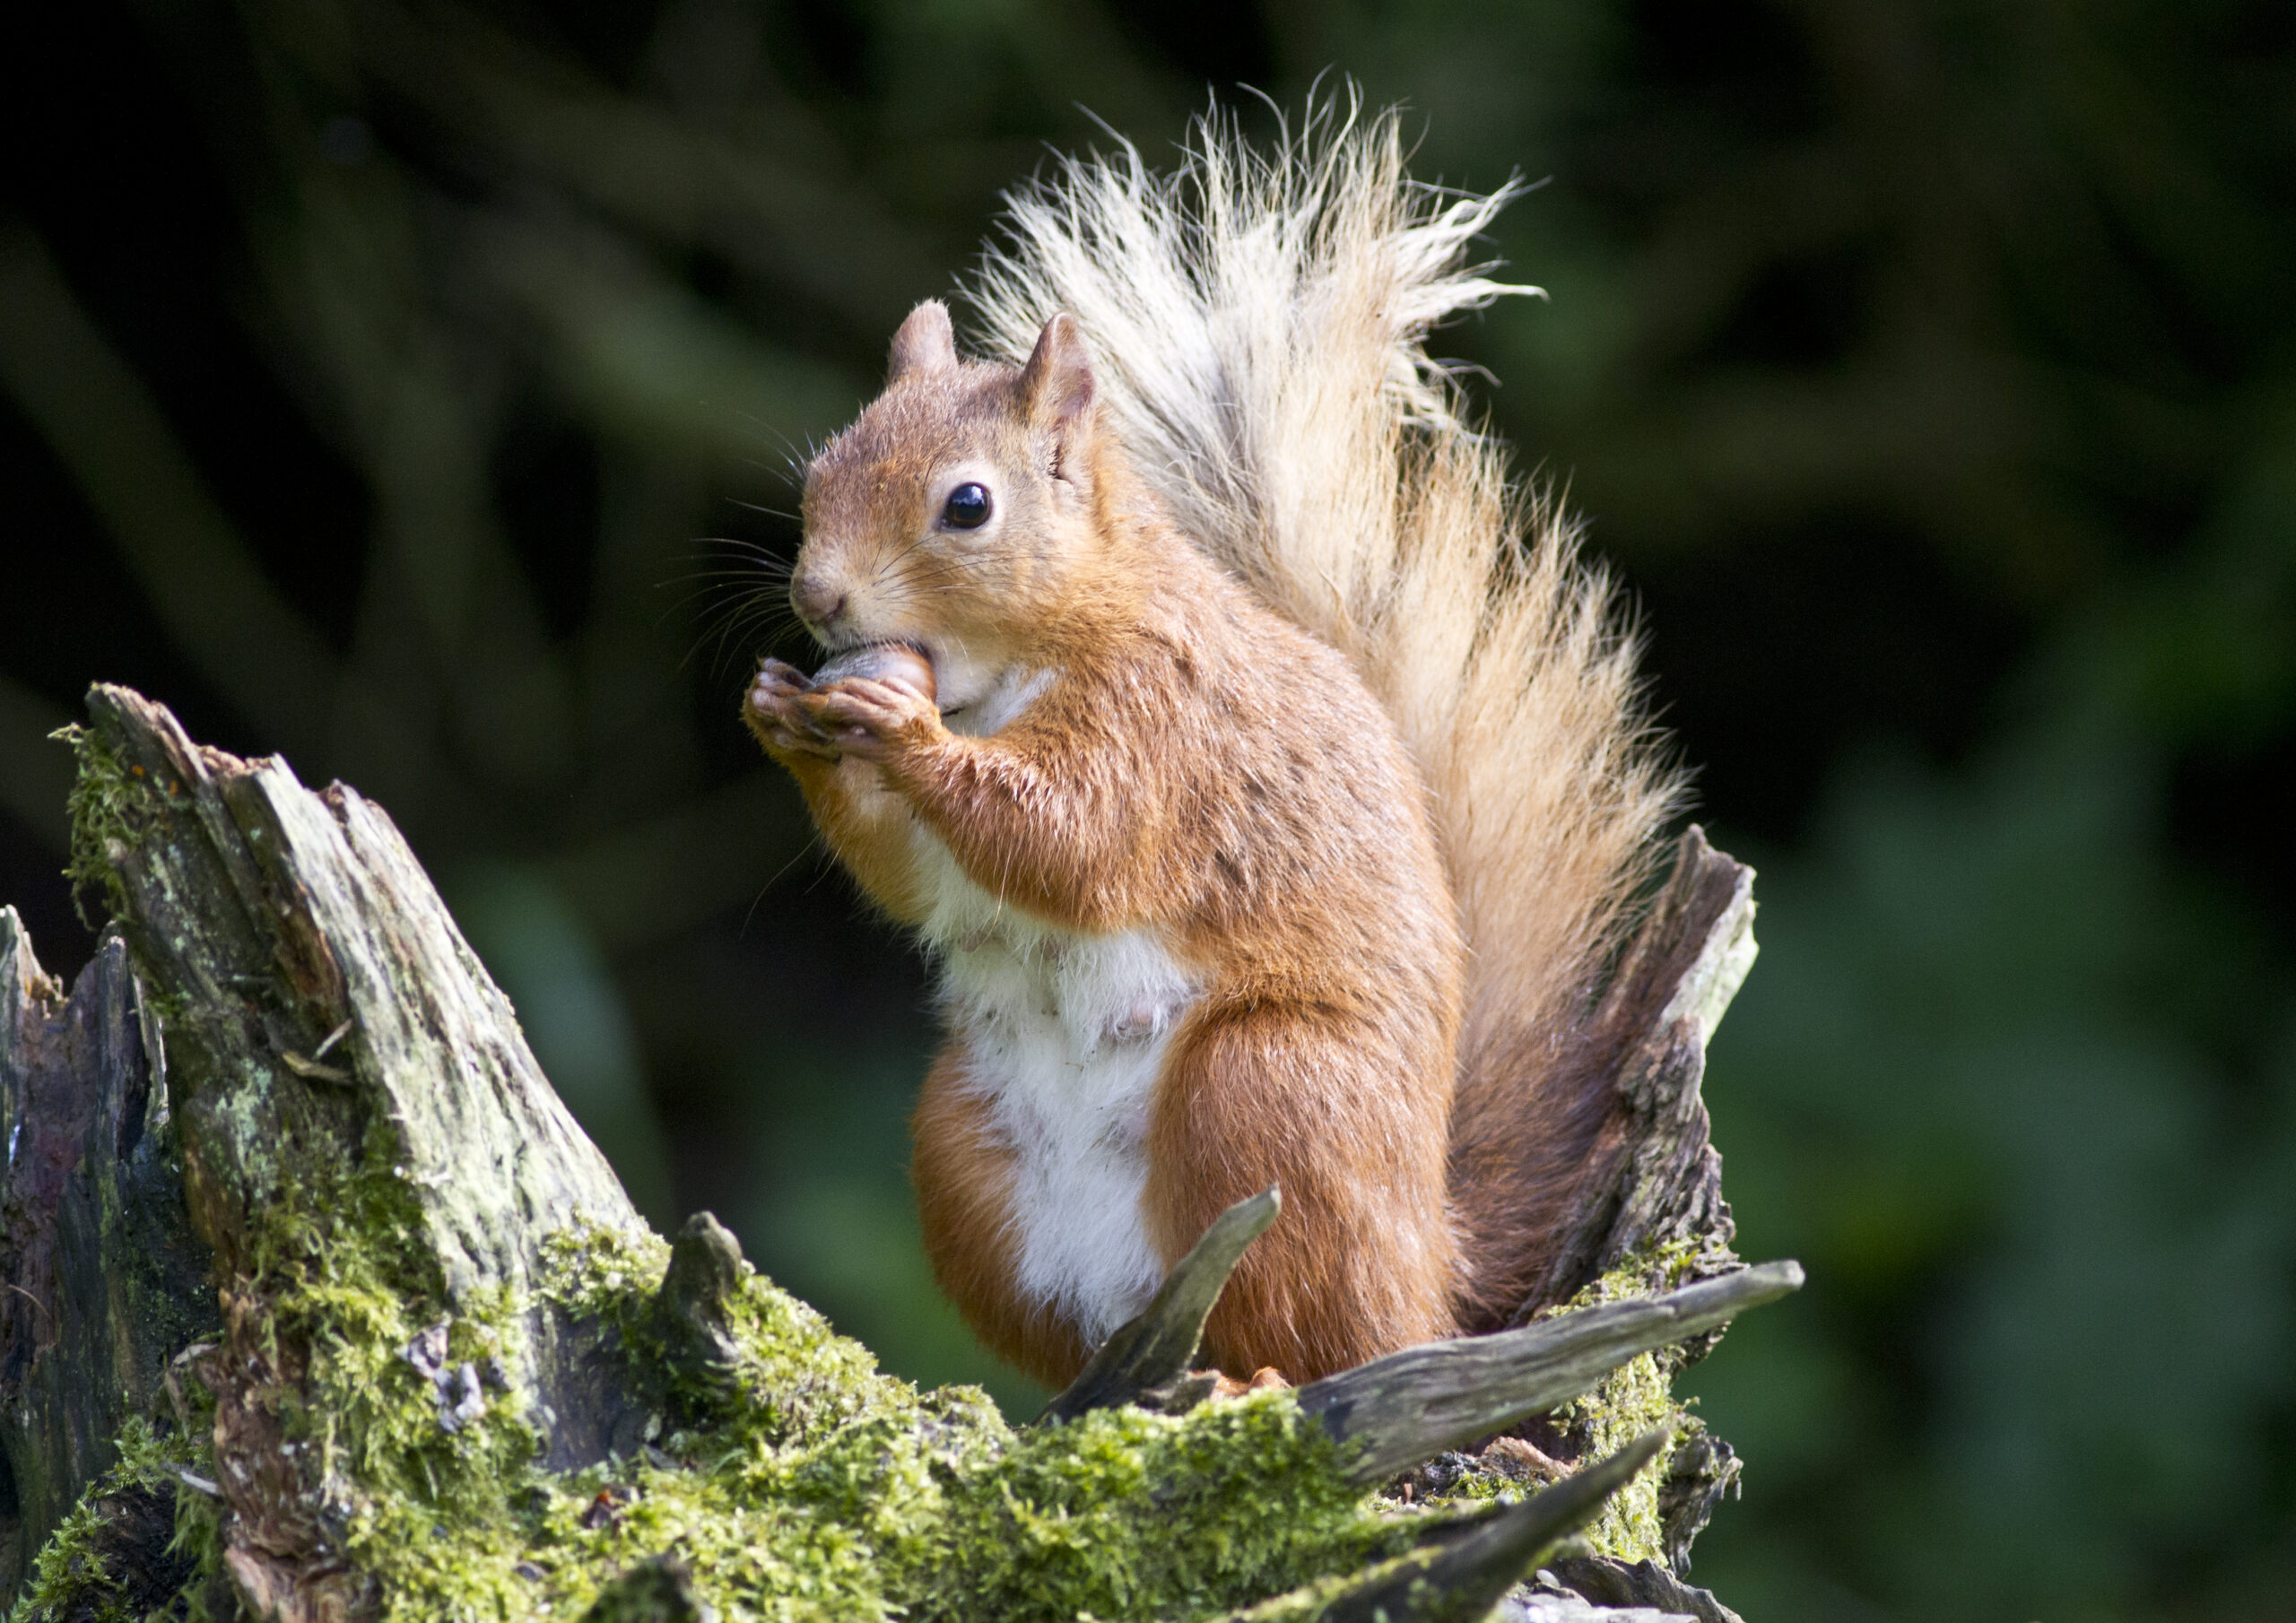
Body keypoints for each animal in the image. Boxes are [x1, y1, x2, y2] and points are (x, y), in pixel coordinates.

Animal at [744, 105, 1682, 1388]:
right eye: (821, 470)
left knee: (1321, 1337)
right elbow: (916, 879)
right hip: (960, 1140)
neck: (1025, 660)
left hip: (1268, 1091)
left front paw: (906, 734)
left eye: (967, 505)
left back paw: (1255, 1375)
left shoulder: (1165, 726)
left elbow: (1075, 843)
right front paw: (781, 717)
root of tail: (1430, 1269)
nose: (817, 598)